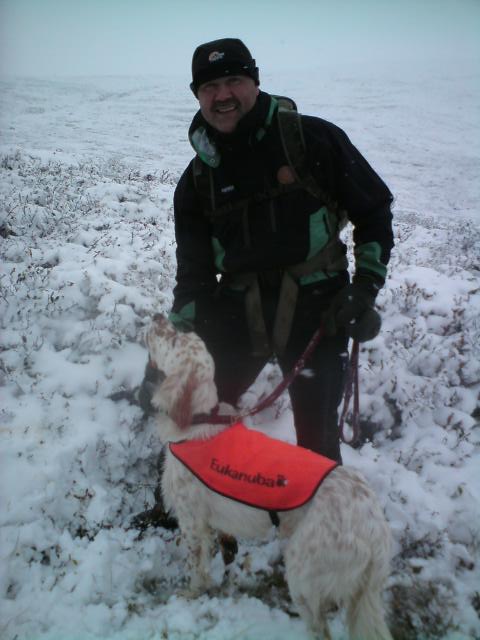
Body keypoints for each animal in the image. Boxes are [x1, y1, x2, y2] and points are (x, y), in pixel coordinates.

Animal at [144, 316, 392, 640]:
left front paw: (191, 593)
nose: (158, 317)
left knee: (320, 628)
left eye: (174, 339)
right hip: (359, 595)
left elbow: (196, 566)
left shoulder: (192, 521)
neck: (198, 421)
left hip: (302, 573)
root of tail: (376, 529)